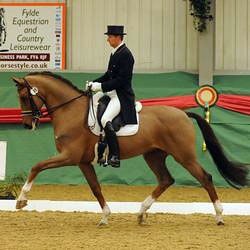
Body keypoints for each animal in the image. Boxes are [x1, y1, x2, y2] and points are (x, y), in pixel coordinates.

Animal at [12, 71, 249, 226]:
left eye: (24, 97)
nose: (26, 125)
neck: (70, 111)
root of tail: (182, 113)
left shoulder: (69, 156)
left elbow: (37, 166)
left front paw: (21, 199)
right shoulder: (83, 161)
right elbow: (95, 188)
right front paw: (105, 216)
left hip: (184, 156)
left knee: (205, 178)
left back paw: (219, 216)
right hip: (153, 156)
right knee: (166, 180)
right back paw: (142, 213)